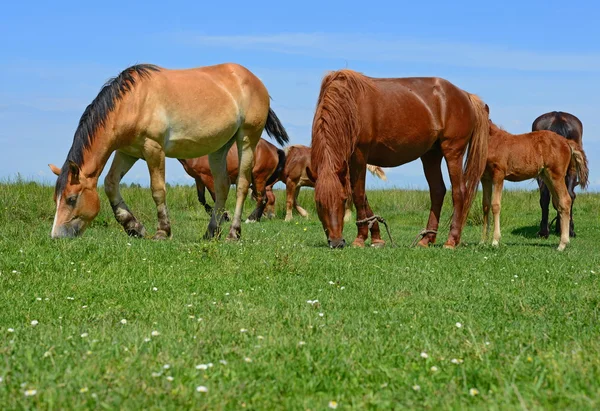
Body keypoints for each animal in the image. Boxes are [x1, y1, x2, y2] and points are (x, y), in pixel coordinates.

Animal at [49, 62, 288, 240]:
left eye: (71, 199)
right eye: (56, 199)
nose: (56, 236)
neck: (133, 101)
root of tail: (254, 81)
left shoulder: (153, 149)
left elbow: (157, 190)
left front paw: (162, 231)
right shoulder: (128, 152)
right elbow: (110, 184)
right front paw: (133, 226)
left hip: (246, 141)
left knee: (241, 187)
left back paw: (233, 233)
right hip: (220, 149)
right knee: (221, 188)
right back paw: (211, 232)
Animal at [310, 70, 488, 249]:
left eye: (343, 200)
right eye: (318, 203)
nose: (336, 242)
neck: (349, 103)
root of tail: (466, 95)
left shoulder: (359, 155)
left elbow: (358, 195)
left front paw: (360, 238)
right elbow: (362, 195)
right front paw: (376, 237)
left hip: (453, 152)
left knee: (459, 192)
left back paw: (451, 240)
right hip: (431, 155)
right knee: (437, 191)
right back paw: (426, 239)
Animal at [480, 122, 588, 251]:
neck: (493, 140)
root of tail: (566, 141)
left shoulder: (498, 175)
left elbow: (495, 205)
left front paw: (495, 241)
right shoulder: (485, 178)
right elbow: (485, 205)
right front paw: (483, 241)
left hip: (556, 175)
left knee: (565, 200)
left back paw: (562, 244)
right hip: (547, 177)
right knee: (558, 203)